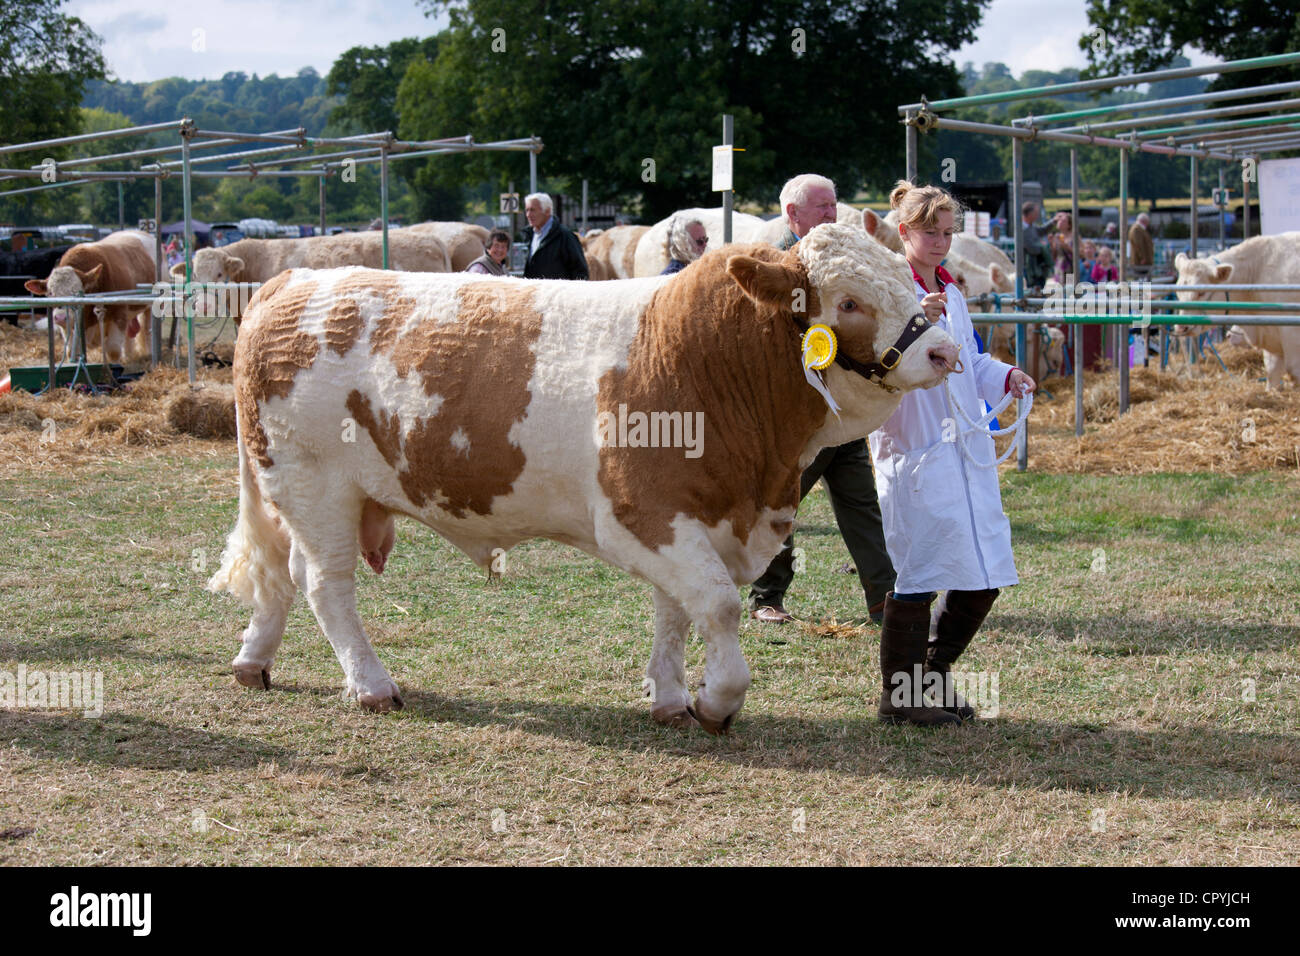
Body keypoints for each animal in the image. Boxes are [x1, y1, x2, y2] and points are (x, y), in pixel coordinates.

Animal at [24, 230, 156, 364]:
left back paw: (149, 354)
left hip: (149, 308)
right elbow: (71, 351)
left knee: (147, 330)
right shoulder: (69, 328)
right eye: (50, 293)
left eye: (77, 292)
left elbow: (113, 351)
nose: (60, 318)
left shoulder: (118, 315)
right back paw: (128, 356)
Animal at [208, 222, 961, 733]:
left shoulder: (696, 517)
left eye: (907, 279)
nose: (945, 350)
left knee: (280, 574)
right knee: (324, 584)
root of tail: (291, 283)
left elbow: (675, 611)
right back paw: (371, 685)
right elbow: (716, 605)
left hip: (296, 492)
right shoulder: (641, 515)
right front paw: (716, 701)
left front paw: (669, 698)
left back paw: (253, 660)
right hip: (316, 486)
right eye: (850, 301)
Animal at [1175, 234, 1300, 387]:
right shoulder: (1272, 337)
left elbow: (1293, 370)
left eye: (1201, 293)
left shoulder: (1291, 335)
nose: (1181, 327)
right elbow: (1272, 373)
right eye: (1177, 292)